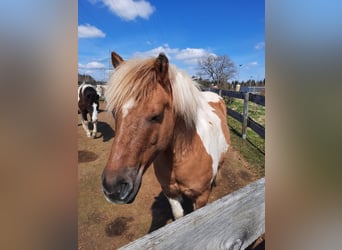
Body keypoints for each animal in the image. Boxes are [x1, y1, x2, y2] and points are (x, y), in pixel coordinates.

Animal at [101, 51, 230, 219]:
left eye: (157, 116)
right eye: (114, 113)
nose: (113, 187)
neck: (184, 155)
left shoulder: (201, 198)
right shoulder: (170, 193)